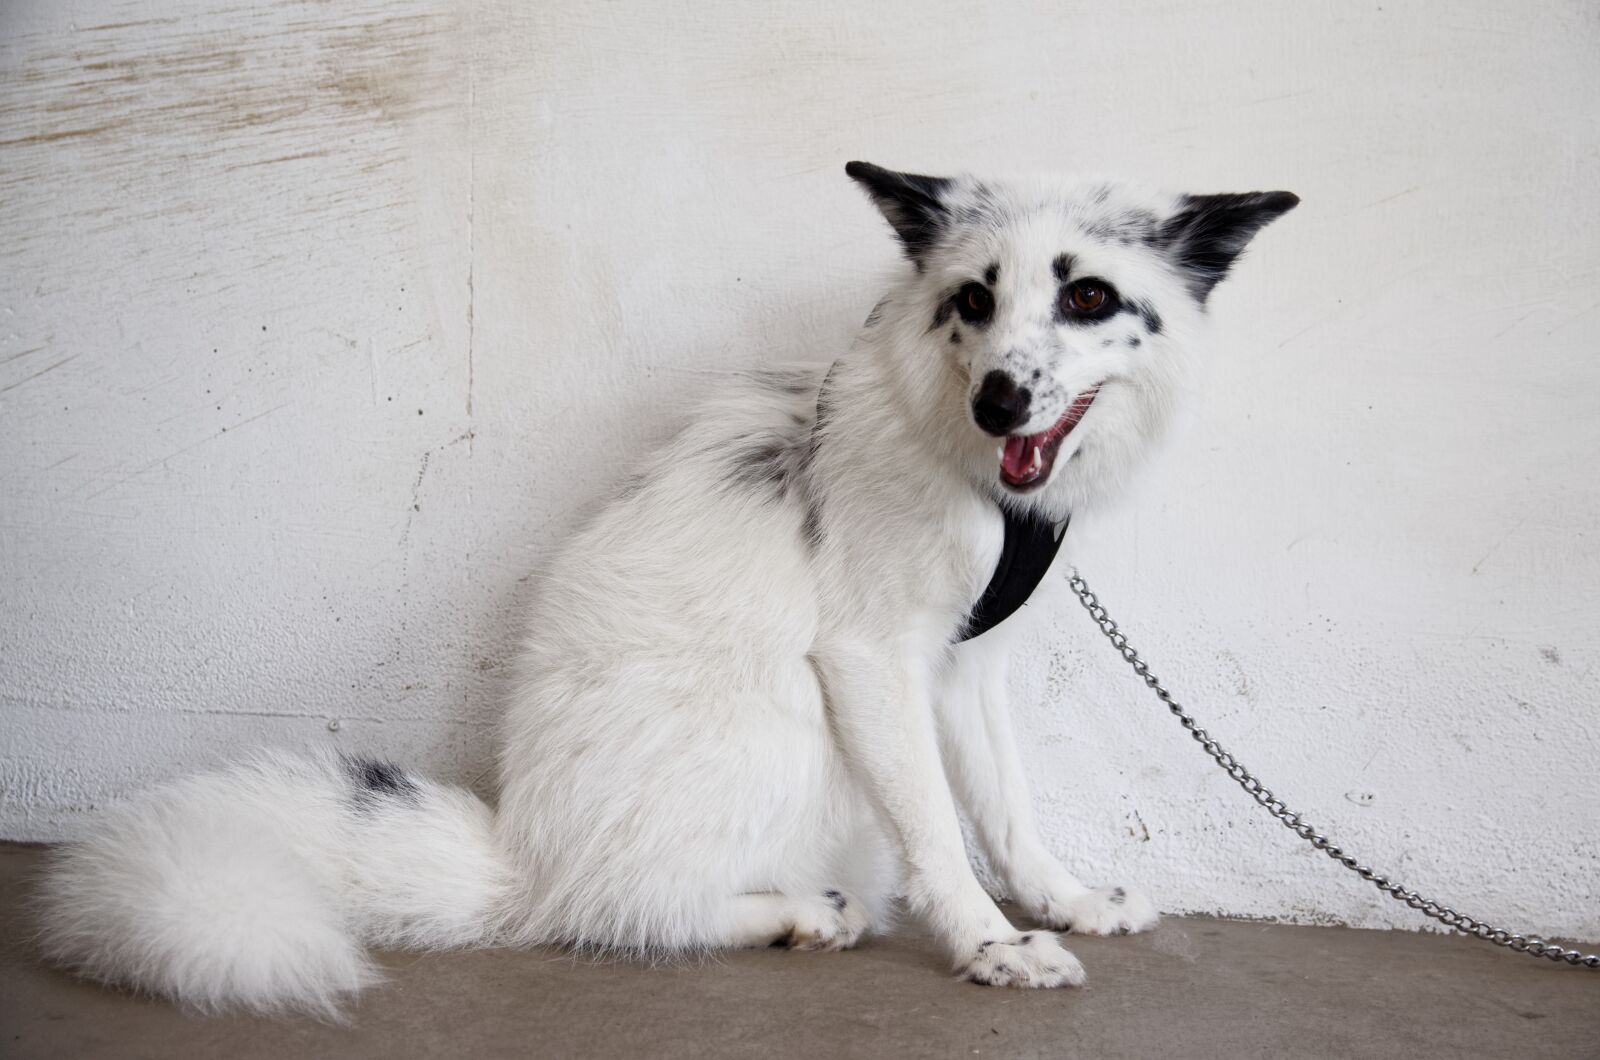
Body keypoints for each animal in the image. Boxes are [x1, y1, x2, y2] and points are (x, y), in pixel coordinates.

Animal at [37, 162, 1296, 1016]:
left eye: (1086, 298)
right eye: (973, 301)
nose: (998, 400)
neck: (973, 475)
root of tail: (519, 851)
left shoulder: (965, 666)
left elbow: (1006, 810)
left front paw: (1063, 899)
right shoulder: (869, 656)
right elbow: (941, 830)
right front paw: (991, 946)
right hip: (783, 730)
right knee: (603, 914)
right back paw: (793, 912)